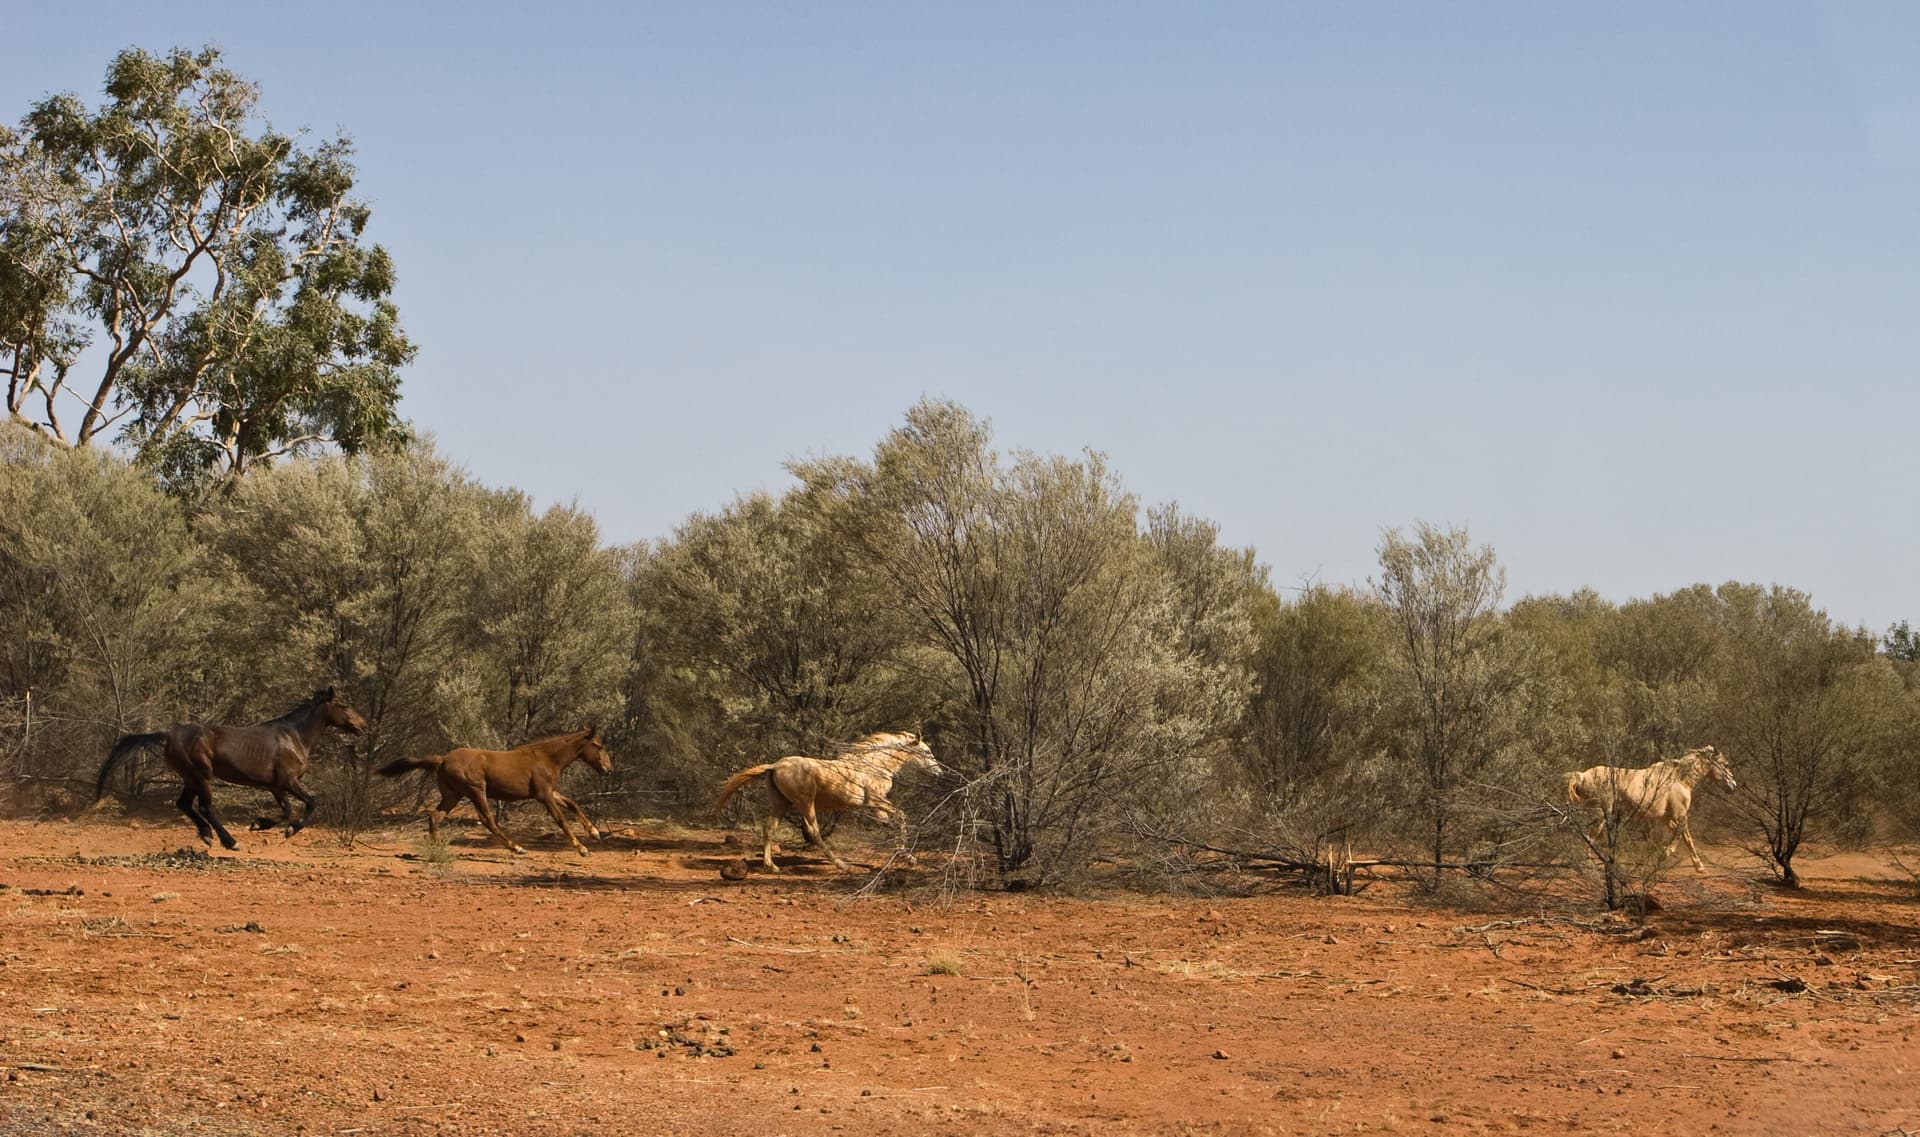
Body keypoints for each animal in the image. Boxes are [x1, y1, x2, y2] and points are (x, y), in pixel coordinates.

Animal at [96, 687, 367, 849]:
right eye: (343, 705)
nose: (363, 726)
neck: (294, 737)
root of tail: (169, 735)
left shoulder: (276, 787)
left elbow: (287, 810)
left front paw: (259, 824)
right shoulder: (288, 782)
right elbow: (309, 803)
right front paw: (287, 830)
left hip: (190, 778)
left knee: (184, 804)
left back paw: (207, 835)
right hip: (201, 776)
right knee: (205, 807)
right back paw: (230, 841)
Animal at [377, 727, 613, 856]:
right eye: (598, 745)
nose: (608, 769)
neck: (546, 757)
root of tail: (442, 759)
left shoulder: (550, 792)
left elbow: (573, 804)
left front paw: (594, 832)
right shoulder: (544, 795)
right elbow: (561, 820)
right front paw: (582, 848)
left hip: (452, 795)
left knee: (435, 817)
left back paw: (436, 849)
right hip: (475, 791)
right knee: (487, 820)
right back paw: (516, 848)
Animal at [712, 731, 946, 872]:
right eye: (927, 751)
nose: (939, 773)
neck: (874, 765)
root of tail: (775, 766)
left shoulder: (876, 807)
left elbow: (894, 820)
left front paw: (904, 855)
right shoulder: (874, 803)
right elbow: (901, 817)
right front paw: (906, 857)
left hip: (780, 804)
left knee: (769, 829)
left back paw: (771, 866)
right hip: (805, 803)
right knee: (813, 831)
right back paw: (840, 863)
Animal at [1563, 745, 1737, 871]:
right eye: (1726, 764)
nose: (1733, 786)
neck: (1680, 779)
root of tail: (1583, 776)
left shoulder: (1668, 819)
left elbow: (1682, 836)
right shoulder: (1680, 815)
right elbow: (1685, 836)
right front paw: (1695, 865)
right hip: (1600, 814)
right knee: (1589, 837)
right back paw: (1589, 864)